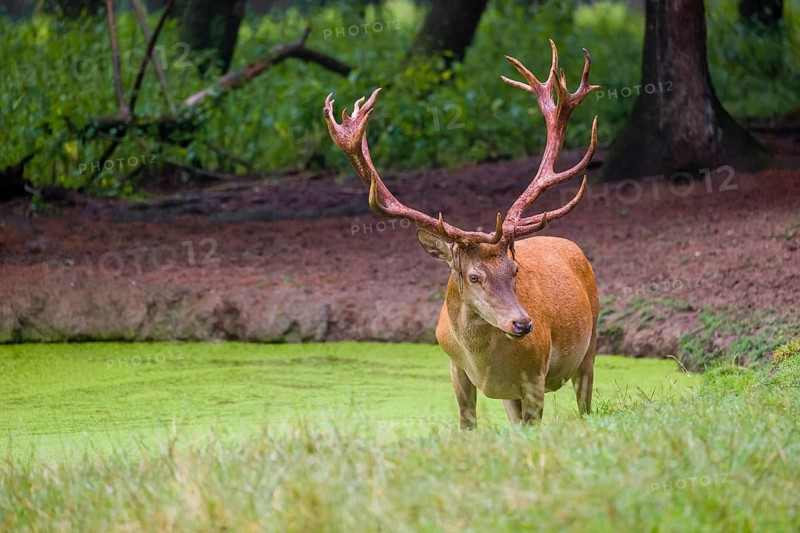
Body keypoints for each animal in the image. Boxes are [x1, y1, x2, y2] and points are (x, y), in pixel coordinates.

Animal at [323, 41, 600, 428]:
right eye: (474, 276)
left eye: (515, 271)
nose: (523, 323)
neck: (484, 364)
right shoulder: (457, 371)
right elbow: (467, 422)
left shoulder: (536, 376)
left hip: (590, 345)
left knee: (586, 400)